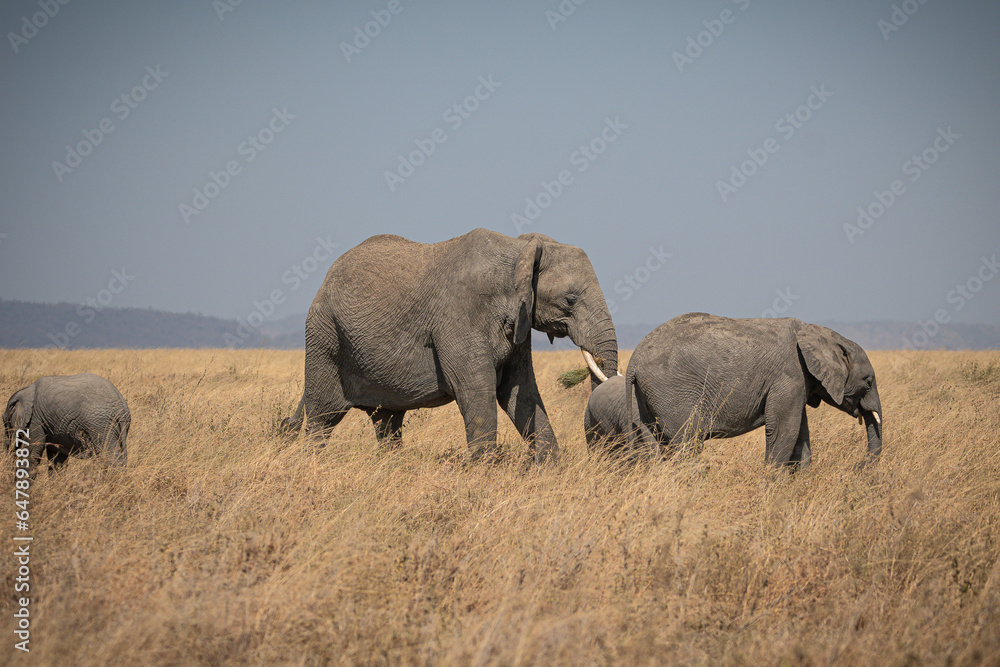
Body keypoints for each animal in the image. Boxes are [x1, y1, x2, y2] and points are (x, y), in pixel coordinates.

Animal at [2, 374, 130, 472]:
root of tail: (121, 406)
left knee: (110, 456)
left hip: (100, 425)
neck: (26, 390)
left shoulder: (35, 420)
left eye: (4, 423)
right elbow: (58, 458)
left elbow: (32, 453)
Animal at [624, 314, 884, 468]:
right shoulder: (790, 375)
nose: (857, 466)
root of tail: (633, 363)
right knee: (686, 441)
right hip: (672, 392)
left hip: (645, 397)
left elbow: (800, 433)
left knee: (652, 444)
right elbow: (784, 430)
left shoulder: (798, 383)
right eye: (868, 382)